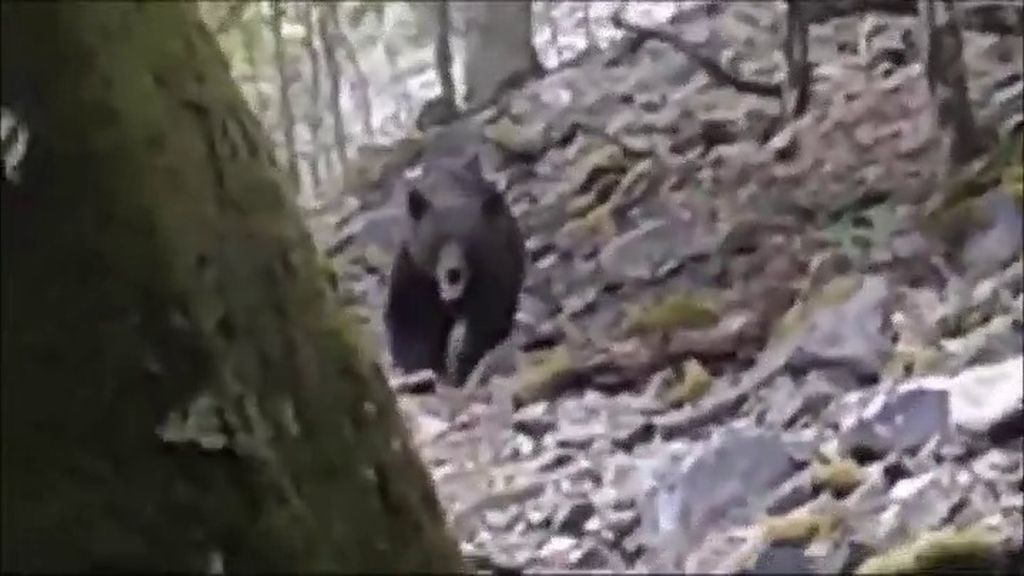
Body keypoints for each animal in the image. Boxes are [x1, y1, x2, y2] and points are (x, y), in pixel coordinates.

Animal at [385, 154, 528, 383]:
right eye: (438, 240)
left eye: (470, 242)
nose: (453, 271)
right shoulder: (416, 273)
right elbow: (412, 319)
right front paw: (423, 366)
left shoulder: (493, 269)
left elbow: (486, 315)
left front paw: (461, 364)